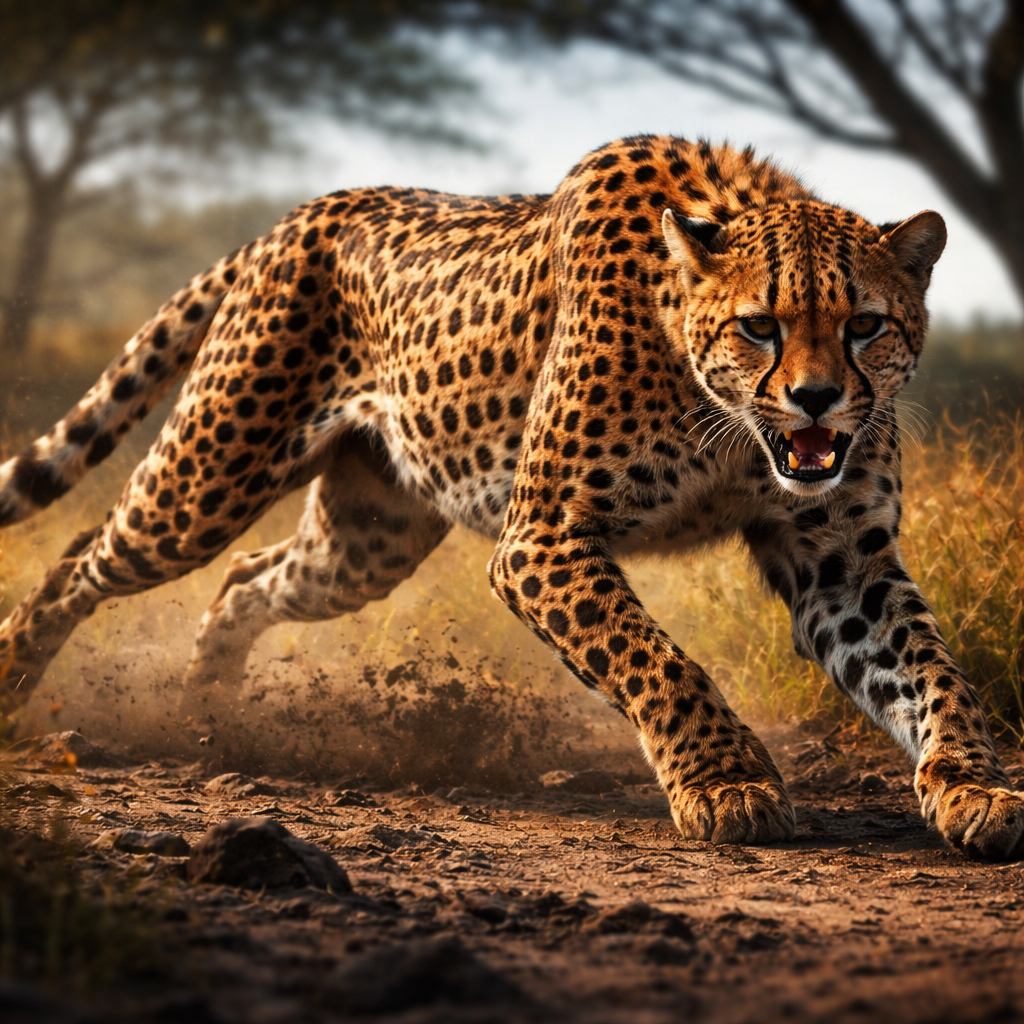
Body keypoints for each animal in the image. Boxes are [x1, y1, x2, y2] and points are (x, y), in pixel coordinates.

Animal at [0, 134, 1021, 861]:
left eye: (866, 325)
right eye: (759, 326)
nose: (816, 399)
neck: (728, 425)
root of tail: (302, 212)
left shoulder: (841, 562)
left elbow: (931, 670)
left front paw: (974, 787)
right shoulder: (543, 540)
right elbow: (658, 662)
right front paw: (725, 783)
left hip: (365, 542)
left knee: (248, 578)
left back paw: (211, 709)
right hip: (205, 480)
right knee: (84, 553)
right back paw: (17, 683)